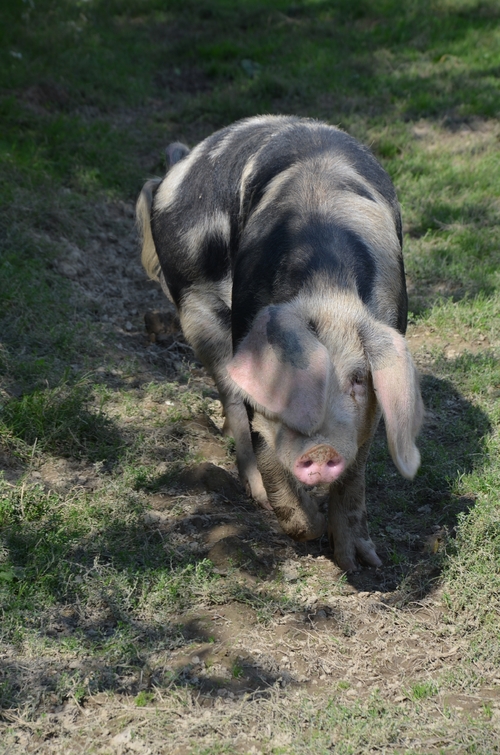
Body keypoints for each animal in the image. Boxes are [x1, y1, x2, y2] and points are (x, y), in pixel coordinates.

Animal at [137, 115, 422, 568]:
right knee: (232, 402)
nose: (320, 451)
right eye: (287, 378)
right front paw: (308, 524)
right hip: (196, 307)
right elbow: (266, 446)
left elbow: (357, 470)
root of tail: (180, 163)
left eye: (359, 380)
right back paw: (253, 493)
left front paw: (360, 561)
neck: (327, 289)